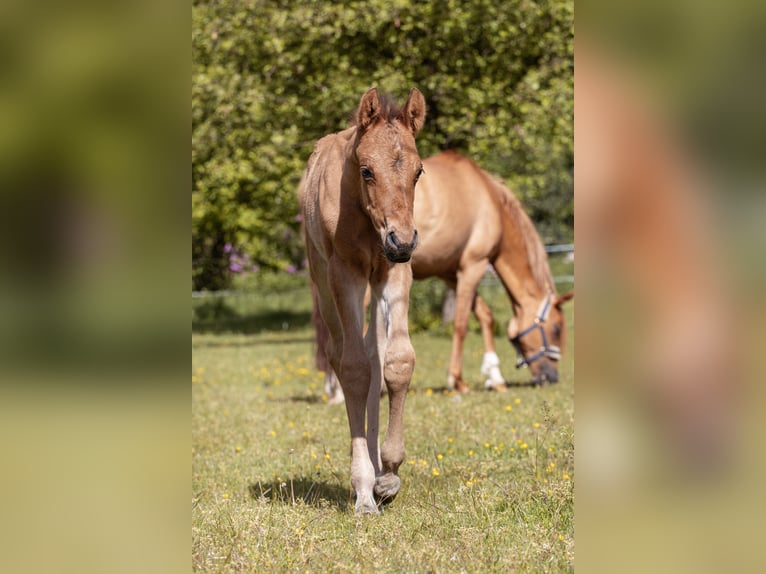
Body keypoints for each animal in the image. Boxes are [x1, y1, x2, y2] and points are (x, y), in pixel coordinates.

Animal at [300, 87, 426, 514]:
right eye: (367, 170)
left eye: (418, 171)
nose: (401, 240)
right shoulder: (346, 274)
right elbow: (353, 368)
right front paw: (364, 491)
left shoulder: (395, 271)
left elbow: (397, 362)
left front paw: (389, 474)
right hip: (323, 284)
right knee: (341, 355)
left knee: (375, 353)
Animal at [315, 150, 573, 402]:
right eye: (556, 329)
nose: (551, 378)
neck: (490, 201)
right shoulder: (473, 266)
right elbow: (461, 323)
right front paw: (457, 380)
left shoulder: (451, 274)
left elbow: (485, 315)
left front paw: (495, 377)